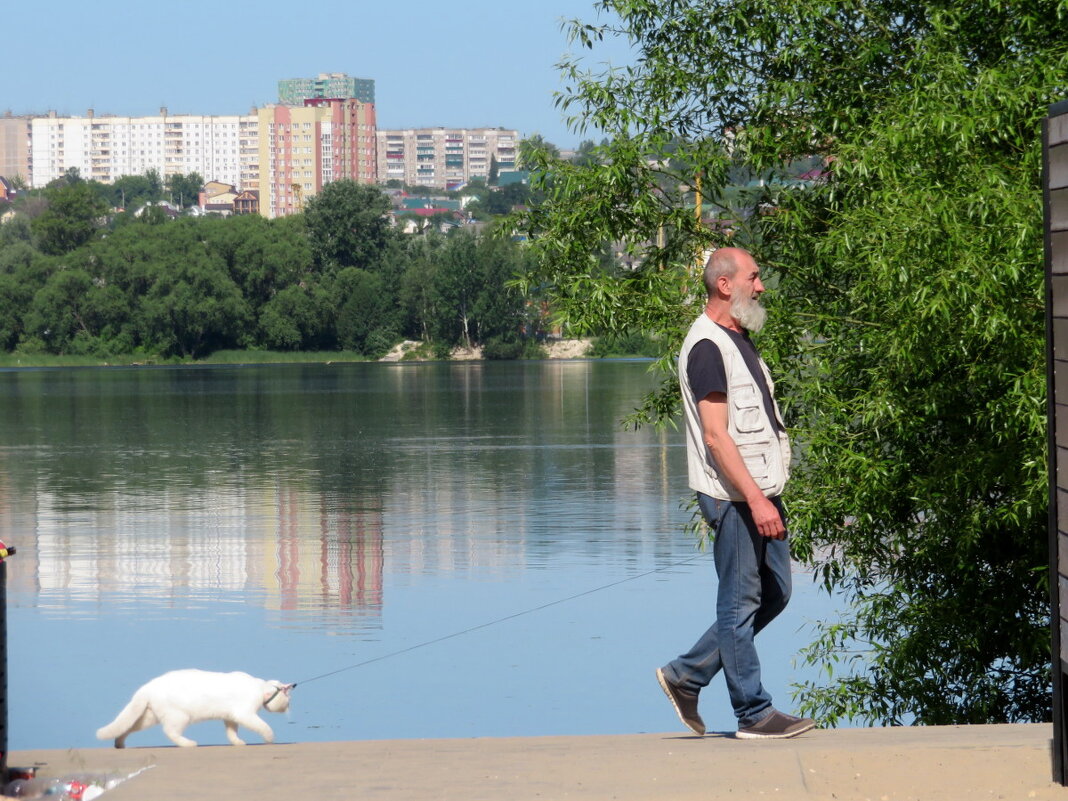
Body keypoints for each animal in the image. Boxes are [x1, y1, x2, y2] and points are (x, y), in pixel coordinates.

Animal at [96, 674, 294, 751]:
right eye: (288, 699)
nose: (289, 707)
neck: (260, 688)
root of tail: (146, 688)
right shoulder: (244, 713)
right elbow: (263, 726)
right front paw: (270, 738)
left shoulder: (230, 717)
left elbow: (231, 731)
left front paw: (237, 742)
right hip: (179, 716)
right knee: (170, 731)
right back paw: (188, 743)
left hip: (147, 717)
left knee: (127, 726)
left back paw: (119, 743)